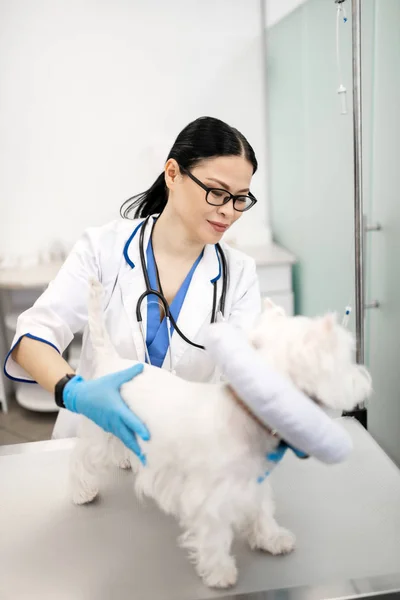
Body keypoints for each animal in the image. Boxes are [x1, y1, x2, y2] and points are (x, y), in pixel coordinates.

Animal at [70, 280, 374, 584]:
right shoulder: (208, 497)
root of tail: (112, 361)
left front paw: (272, 538)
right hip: (97, 430)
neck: (246, 412)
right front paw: (219, 571)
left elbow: (262, 510)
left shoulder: (254, 482)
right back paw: (83, 491)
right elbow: (214, 533)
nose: (365, 380)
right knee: (82, 459)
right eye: (347, 359)